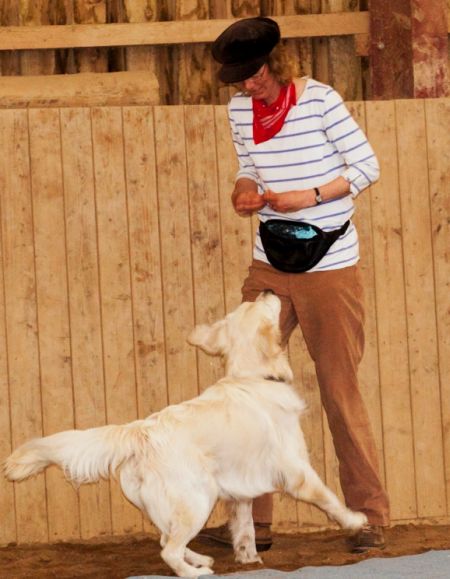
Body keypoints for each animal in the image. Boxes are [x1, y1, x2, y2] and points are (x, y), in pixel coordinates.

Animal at [4, 291, 366, 578]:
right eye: (261, 303)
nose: (267, 289)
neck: (253, 376)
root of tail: (140, 430)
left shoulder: (242, 487)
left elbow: (246, 526)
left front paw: (248, 557)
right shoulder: (297, 471)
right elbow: (330, 499)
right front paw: (354, 520)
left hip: (170, 503)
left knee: (166, 538)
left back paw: (201, 558)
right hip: (198, 498)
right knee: (168, 549)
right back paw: (197, 572)